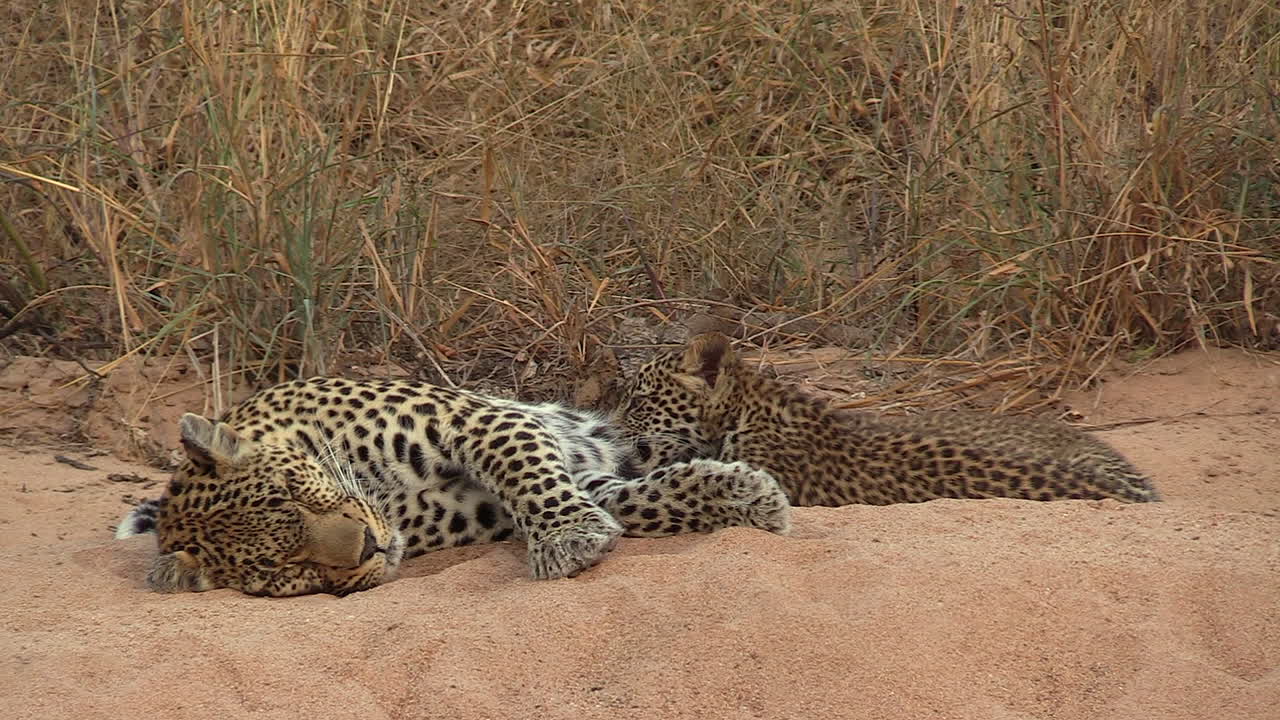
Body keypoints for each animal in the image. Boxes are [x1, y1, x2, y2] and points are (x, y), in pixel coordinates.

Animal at [115, 376, 792, 597]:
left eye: (293, 493)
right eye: (291, 572)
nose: (366, 548)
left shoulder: (469, 418)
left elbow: (528, 473)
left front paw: (569, 536)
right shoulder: (475, 508)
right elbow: (633, 500)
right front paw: (743, 496)